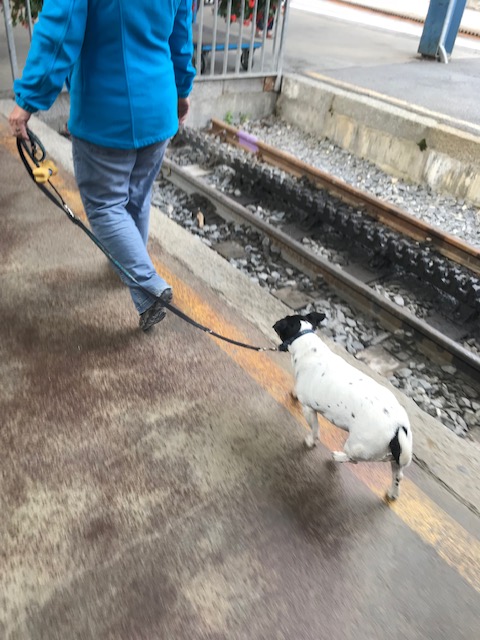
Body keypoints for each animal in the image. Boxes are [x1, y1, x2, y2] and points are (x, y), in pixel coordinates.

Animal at [274, 312, 412, 500]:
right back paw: (392, 493)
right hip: (396, 458)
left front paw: (310, 441)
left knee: (354, 459)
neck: (308, 344)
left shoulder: (309, 410)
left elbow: (315, 430)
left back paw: (338, 457)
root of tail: (398, 428)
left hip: (356, 445)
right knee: (398, 476)